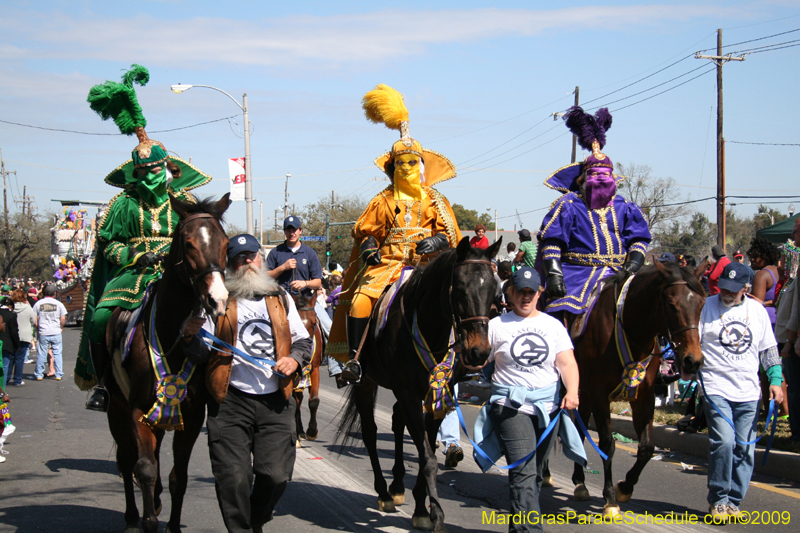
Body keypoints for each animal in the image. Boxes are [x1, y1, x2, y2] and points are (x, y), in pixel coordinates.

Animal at [101, 195, 230, 532]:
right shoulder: (136, 411)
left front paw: (171, 523)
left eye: (225, 243)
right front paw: (148, 520)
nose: (217, 300)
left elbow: (178, 477)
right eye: (188, 243)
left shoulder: (192, 415)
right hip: (116, 409)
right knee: (127, 461)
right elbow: (144, 468)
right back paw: (132, 515)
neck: (172, 332)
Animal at [336, 237, 500, 532]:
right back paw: (384, 492)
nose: (478, 353)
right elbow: (427, 457)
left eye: (493, 290)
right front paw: (435, 514)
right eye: (460, 289)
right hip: (367, 383)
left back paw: (398, 485)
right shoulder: (410, 394)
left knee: (396, 421)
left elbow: (428, 449)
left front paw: (422, 508)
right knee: (370, 431)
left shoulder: (435, 395)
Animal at [568, 258, 708, 516]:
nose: (692, 361)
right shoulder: (600, 394)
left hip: (583, 393)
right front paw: (610, 498)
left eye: (702, 303)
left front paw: (625, 487)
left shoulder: (644, 396)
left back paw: (580, 482)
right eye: (671, 304)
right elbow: (607, 443)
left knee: (578, 429)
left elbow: (647, 448)